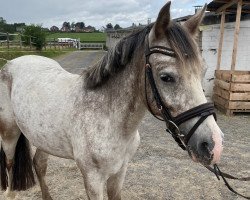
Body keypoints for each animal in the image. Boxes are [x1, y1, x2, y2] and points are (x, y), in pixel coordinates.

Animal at [0, 1, 223, 200]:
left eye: (203, 71)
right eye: (166, 77)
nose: (214, 145)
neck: (108, 117)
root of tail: (12, 63)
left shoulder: (119, 172)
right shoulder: (93, 180)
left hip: (43, 139)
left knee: (39, 164)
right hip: (10, 133)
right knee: (10, 163)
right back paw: (9, 193)